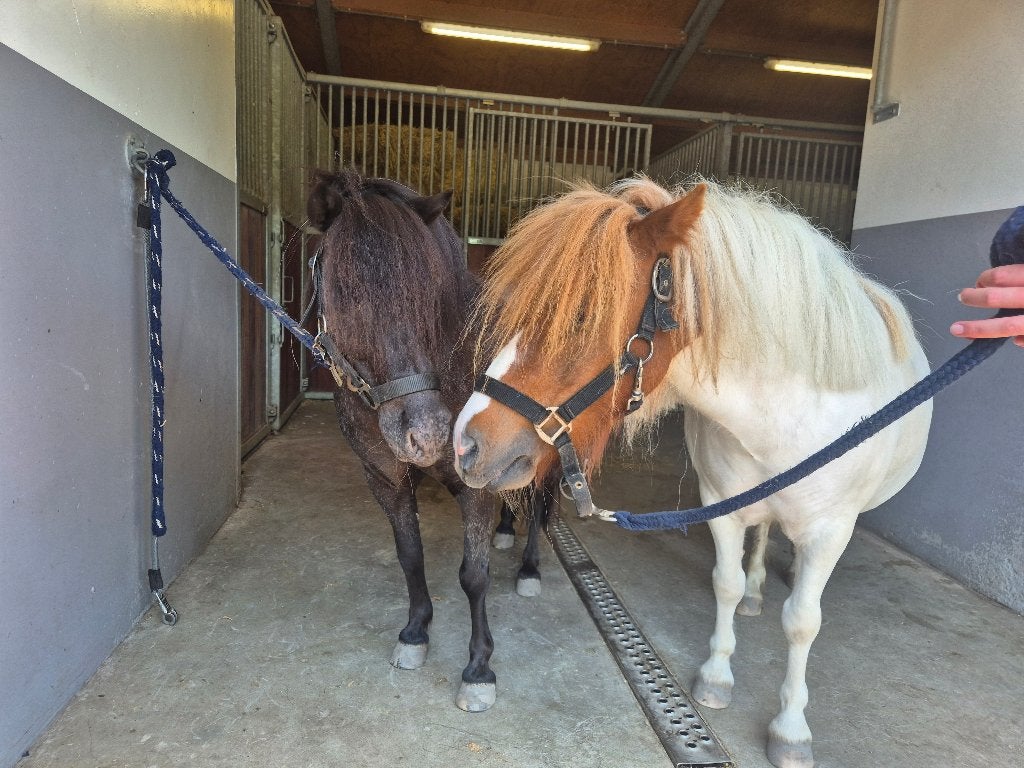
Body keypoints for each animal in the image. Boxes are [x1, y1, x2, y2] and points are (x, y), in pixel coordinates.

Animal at [306, 168, 549, 712]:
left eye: (430, 291)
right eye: (343, 291)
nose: (430, 433)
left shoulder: (474, 485)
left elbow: (473, 576)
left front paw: (478, 669)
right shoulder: (386, 479)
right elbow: (410, 555)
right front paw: (416, 632)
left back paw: (529, 571)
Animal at [452, 176, 932, 767]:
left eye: (583, 315)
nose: (466, 444)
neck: (784, 415)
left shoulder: (829, 529)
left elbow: (802, 621)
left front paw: (791, 729)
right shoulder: (719, 504)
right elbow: (725, 583)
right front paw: (717, 678)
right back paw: (755, 593)